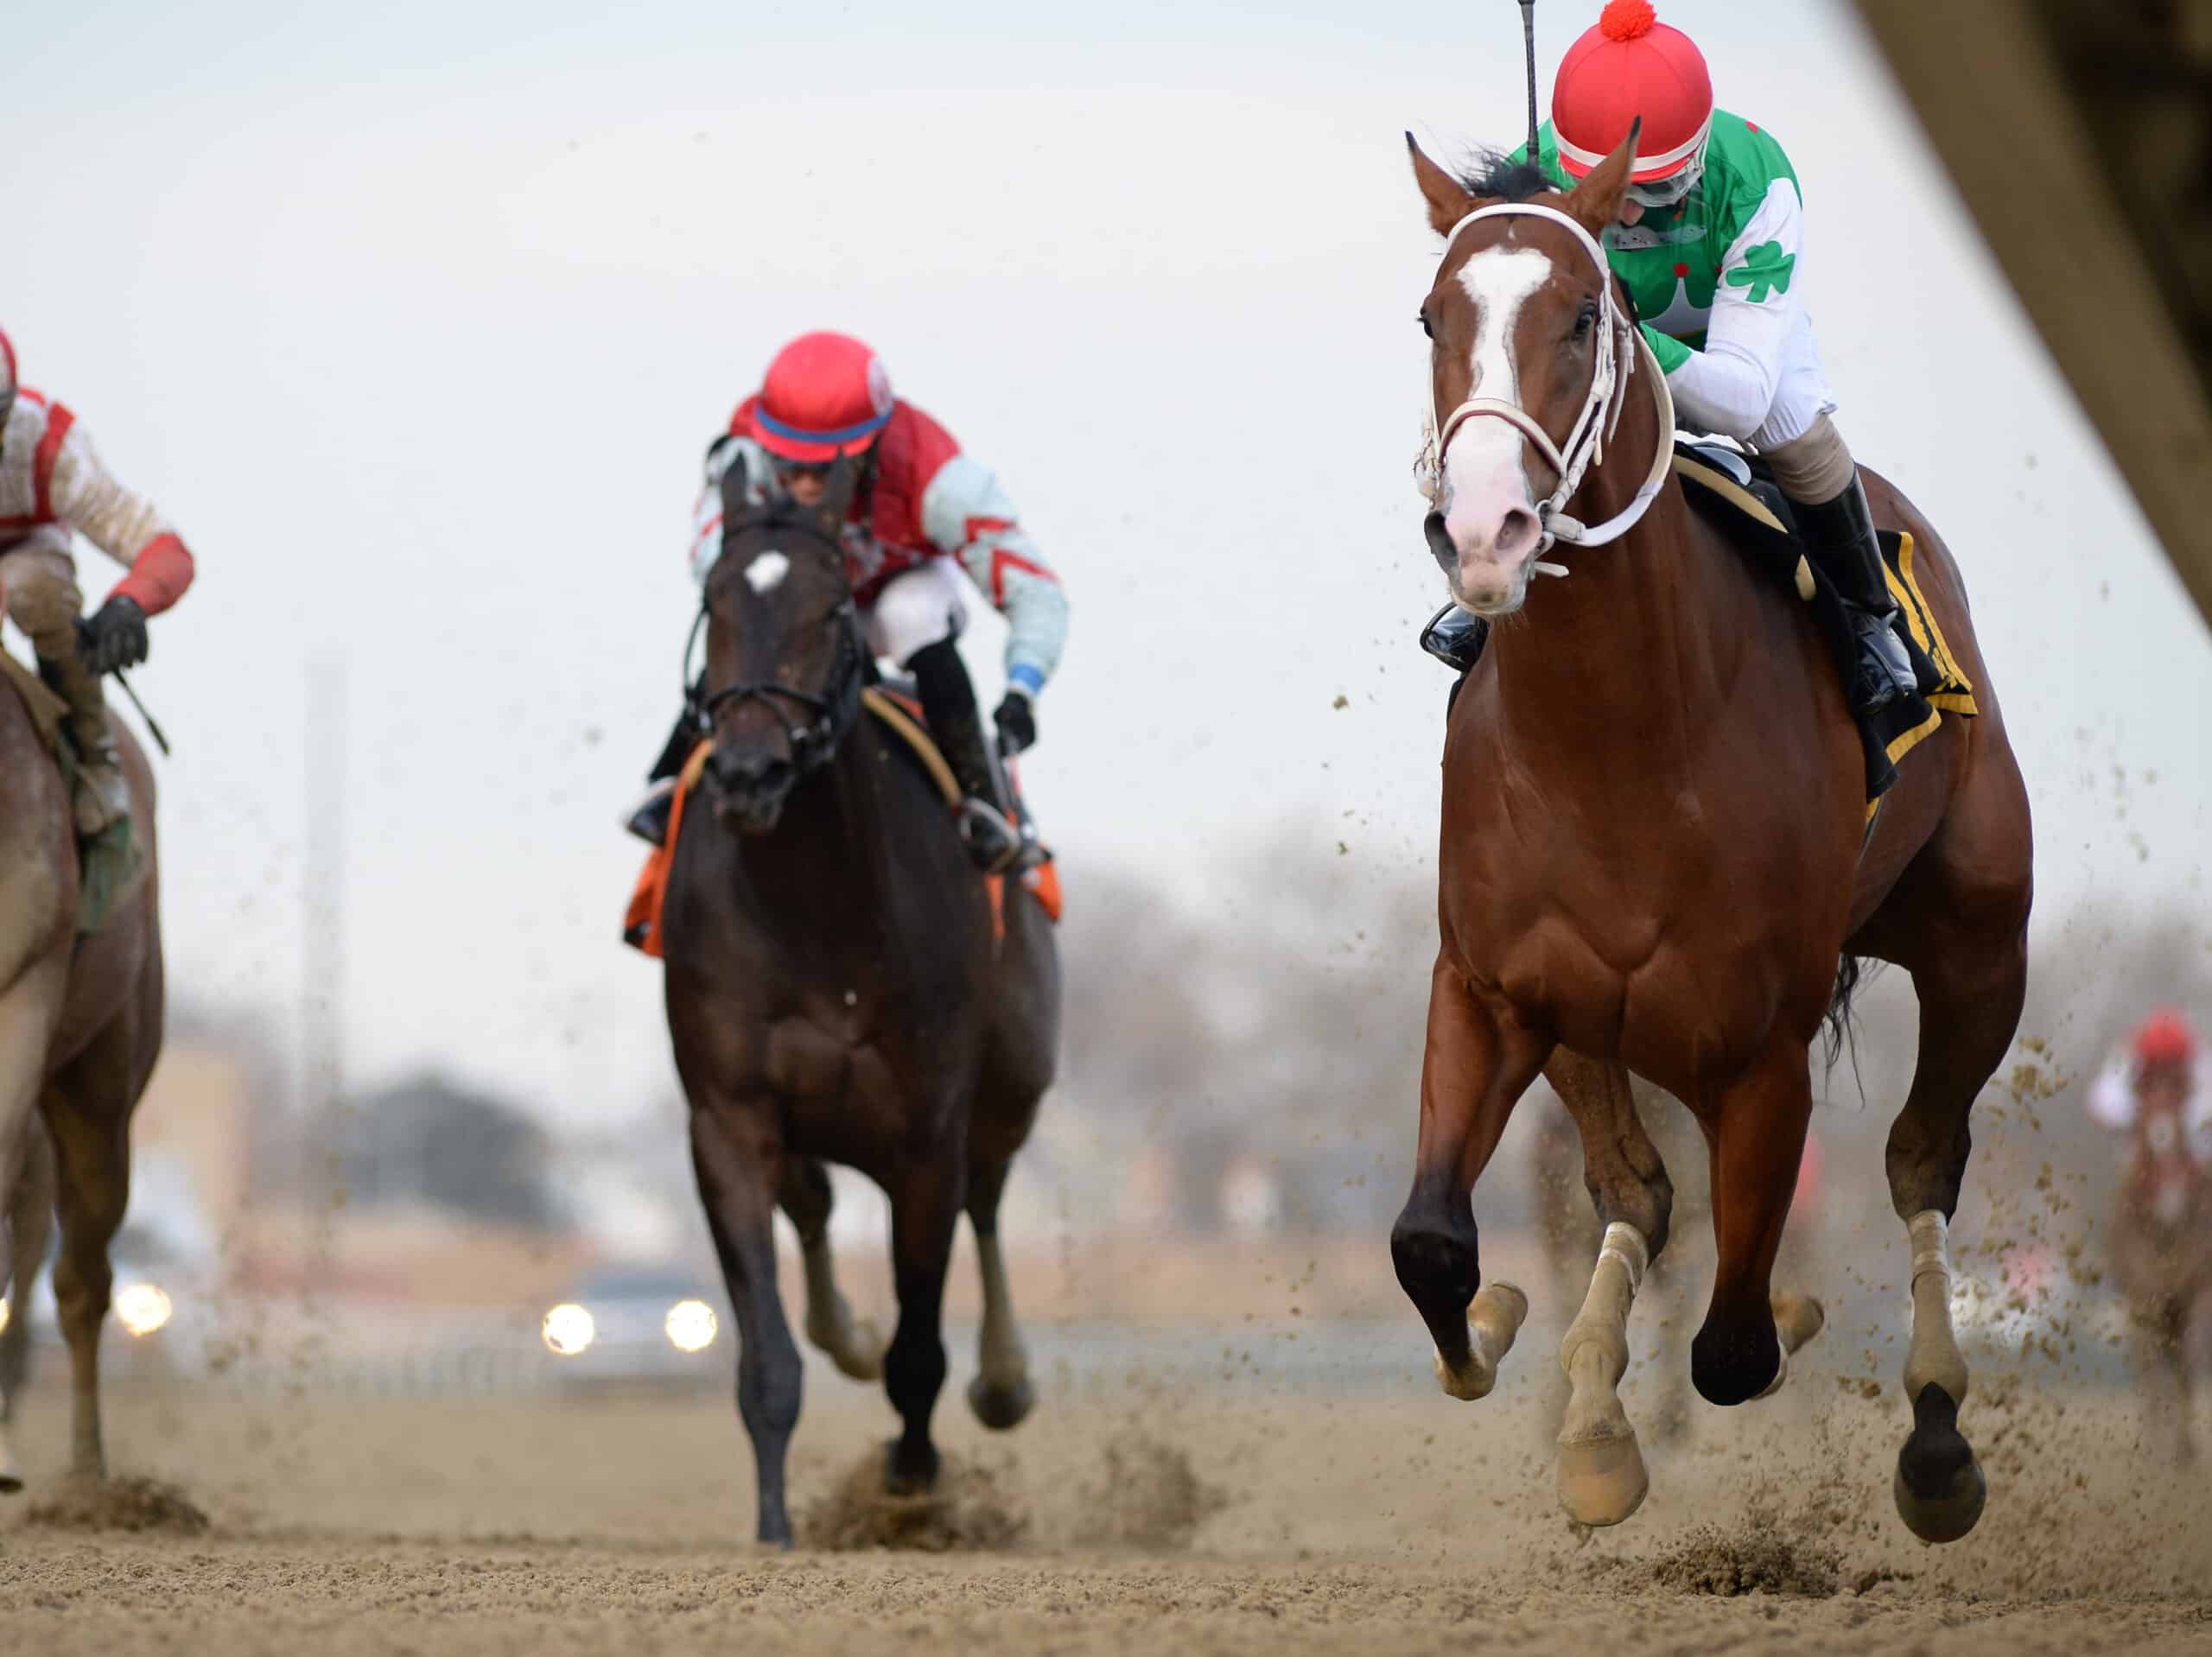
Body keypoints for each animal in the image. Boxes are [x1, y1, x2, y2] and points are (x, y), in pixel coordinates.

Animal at [658, 458, 1057, 1548]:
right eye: (712, 602)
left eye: (830, 606)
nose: (749, 770)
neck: (816, 912)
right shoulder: (727, 1116)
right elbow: (767, 1352)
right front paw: (773, 1525)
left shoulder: (927, 1128)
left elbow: (919, 1349)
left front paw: (909, 1482)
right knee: (814, 1208)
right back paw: (848, 1328)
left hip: (1007, 1091)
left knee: (989, 1204)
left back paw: (1004, 1379)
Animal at [1397, 125, 2035, 1540]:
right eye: (1431, 315)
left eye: (1586, 317)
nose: (1483, 531)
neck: (1618, 745)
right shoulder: (1492, 989)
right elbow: (1433, 1244)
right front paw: (1508, 1336)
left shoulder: (1760, 1053)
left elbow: (1738, 1345)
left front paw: (1787, 1322)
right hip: (1592, 1024)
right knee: (1637, 1190)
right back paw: (1590, 1405)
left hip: (1979, 948)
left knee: (1919, 1162)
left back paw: (1936, 1439)